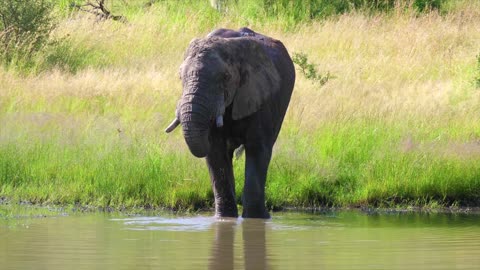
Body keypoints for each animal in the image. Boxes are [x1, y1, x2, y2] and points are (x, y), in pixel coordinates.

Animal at [166, 26, 296, 218]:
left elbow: (258, 149)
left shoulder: (260, 97)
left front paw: (257, 218)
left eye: (226, 77)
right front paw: (225, 219)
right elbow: (216, 152)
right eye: (180, 77)